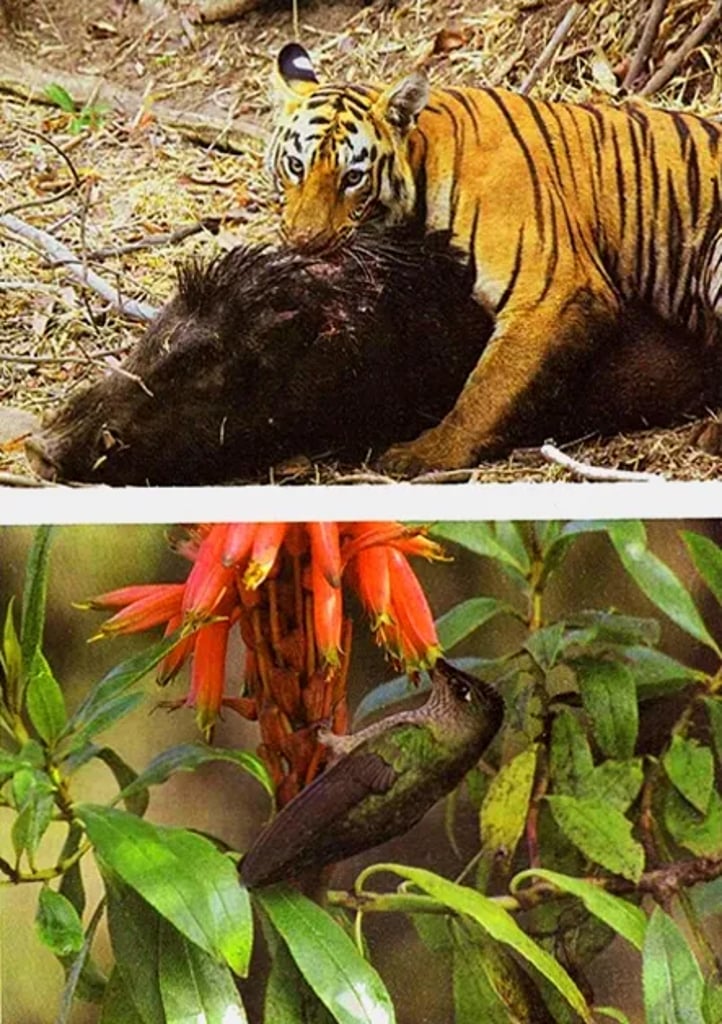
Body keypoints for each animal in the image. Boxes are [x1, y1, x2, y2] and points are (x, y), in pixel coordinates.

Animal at [266, 42, 722, 475]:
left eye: (353, 178)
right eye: (295, 166)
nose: (306, 243)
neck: (423, 157)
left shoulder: (554, 291)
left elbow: (488, 388)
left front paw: (424, 454)